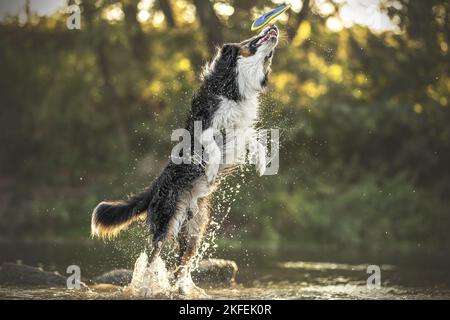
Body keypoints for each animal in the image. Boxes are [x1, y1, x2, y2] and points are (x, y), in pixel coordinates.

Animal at [91, 25, 280, 296]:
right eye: (251, 38)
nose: (274, 26)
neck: (234, 88)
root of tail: (154, 187)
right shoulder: (205, 126)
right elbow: (211, 145)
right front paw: (211, 170)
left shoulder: (240, 129)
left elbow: (254, 141)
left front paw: (262, 163)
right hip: (165, 223)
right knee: (152, 260)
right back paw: (148, 288)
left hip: (192, 233)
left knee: (180, 268)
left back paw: (180, 289)